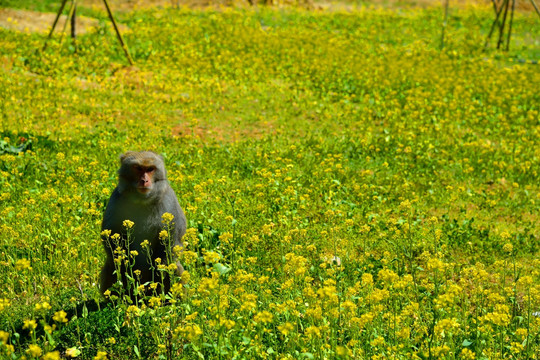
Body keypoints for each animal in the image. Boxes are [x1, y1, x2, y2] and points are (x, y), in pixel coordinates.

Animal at [100, 150, 187, 300]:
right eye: (138, 168)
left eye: (150, 169)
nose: (144, 180)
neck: (142, 201)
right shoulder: (116, 199)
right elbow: (110, 237)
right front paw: (125, 270)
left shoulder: (169, 200)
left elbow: (173, 240)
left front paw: (160, 275)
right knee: (110, 266)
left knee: (175, 266)